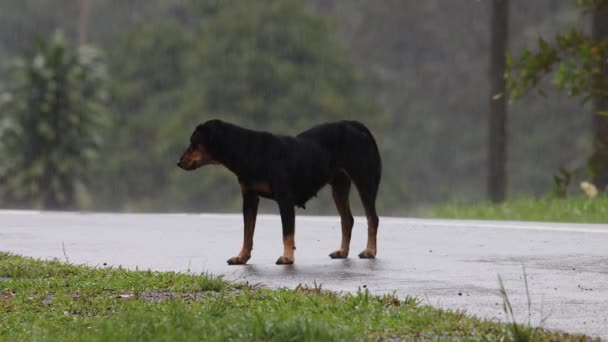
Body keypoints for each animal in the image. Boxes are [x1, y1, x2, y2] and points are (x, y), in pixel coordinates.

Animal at [176, 119, 380, 266]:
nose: (178, 163)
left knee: (372, 218)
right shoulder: (249, 198)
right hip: (339, 185)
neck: (247, 151)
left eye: (194, 143)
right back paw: (342, 252)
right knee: (347, 219)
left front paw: (287, 257)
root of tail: (356, 125)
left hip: (365, 181)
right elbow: (247, 232)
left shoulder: (284, 199)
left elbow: (287, 232)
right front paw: (242, 257)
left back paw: (370, 251)